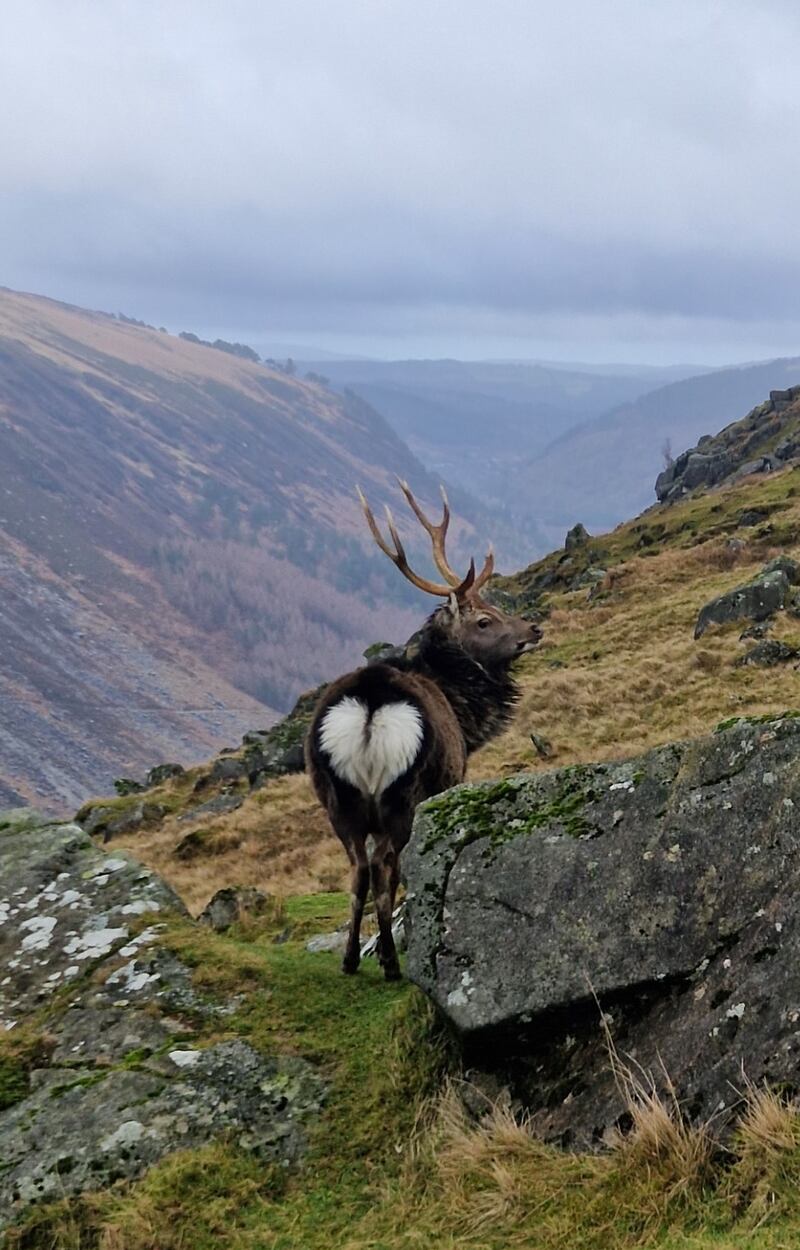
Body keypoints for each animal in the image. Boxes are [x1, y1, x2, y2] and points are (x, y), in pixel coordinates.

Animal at [305, 481, 542, 980]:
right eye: (484, 620)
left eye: (495, 606)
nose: (534, 629)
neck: (463, 712)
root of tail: (370, 705)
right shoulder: (447, 782)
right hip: (401, 794)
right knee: (383, 869)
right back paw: (393, 965)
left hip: (337, 798)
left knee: (358, 871)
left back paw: (350, 960)